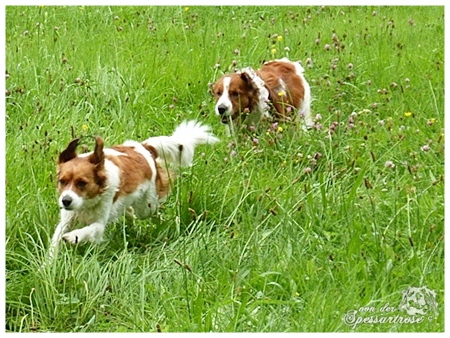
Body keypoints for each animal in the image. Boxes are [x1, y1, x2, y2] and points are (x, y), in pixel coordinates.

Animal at [49, 120, 218, 258]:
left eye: (82, 183)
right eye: (62, 181)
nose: (65, 201)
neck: (86, 203)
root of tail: (145, 147)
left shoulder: (100, 221)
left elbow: (91, 229)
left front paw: (72, 237)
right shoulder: (66, 219)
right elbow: (56, 240)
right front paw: (49, 265)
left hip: (147, 207)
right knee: (129, 211)